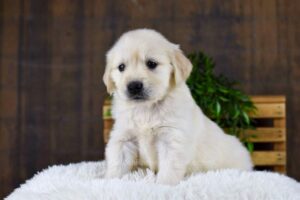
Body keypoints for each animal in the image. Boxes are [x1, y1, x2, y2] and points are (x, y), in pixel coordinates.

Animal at [103, 28, 253, 184]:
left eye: (151, 63)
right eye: (121, 67)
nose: (133, 86)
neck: (146, 109)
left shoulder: (172, 139)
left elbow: (169, 168)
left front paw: (163, 184)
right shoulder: (123, 136)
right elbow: (117, 162)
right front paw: (109, 181)